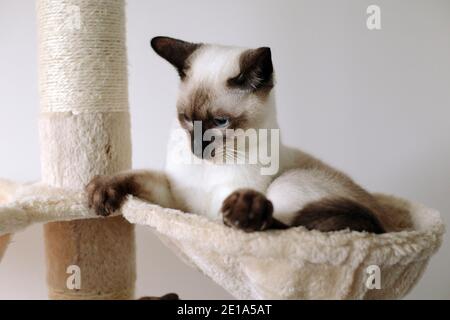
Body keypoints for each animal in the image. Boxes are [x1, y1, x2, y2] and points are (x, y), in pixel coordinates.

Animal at [86, 36, 384, 234]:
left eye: (221, 122)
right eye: (186, 118)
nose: (197, 148)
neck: (207, 169)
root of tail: (386, 222)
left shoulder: (207, 215)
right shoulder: (179, 205)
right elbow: (136, 175)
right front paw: (101, 191)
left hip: (287, 184)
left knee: (287, 226)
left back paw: (248, 211)